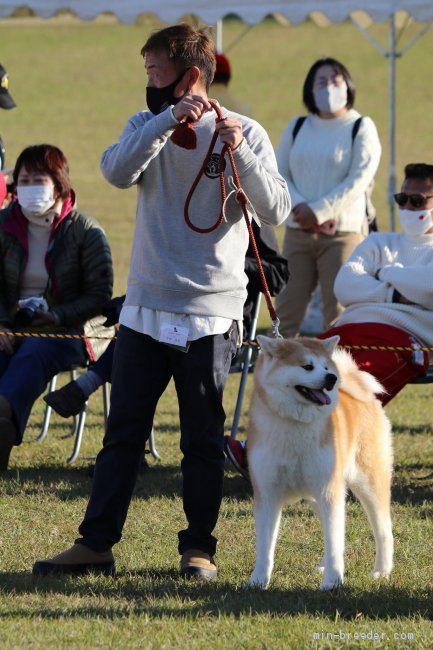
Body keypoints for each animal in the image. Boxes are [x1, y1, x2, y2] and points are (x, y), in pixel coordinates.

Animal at [246, 336, 392, 588]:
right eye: (307, 366)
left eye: (325, 367)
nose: (332, 378)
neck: (295, 425)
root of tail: (363, 395)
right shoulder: (267, 492)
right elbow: (265, 545)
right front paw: (258, 580)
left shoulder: (329, 491)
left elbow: (334, 541)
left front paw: (332, 581)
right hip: (314, 496)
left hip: (368, 483)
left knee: (383, 530)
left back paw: (382, 571)